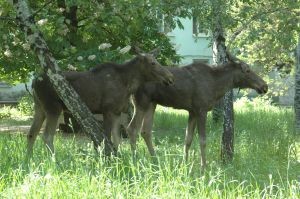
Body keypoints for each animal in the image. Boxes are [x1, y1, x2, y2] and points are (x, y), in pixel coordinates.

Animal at [28, 50, 175, 156]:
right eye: (152, 63)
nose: (170, 77)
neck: (128, 85)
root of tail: (34, 82)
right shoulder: (108, 110)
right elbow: (107, 139)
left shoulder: (117, 112)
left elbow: (117, 139)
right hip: (53, 108)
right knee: (47, 136)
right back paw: (54, 161)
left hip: (39, 107)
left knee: (32, 133)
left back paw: (27, 160)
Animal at [125, 52, 268, 168]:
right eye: (248, 70)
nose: (264, 86)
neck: (217, 86)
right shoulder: (201, 110)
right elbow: (202, 141)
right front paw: (203, 167)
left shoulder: (192, 111)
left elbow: (187, 139)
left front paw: (185, 164)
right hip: (141, 102)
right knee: (132, 128)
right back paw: (135, 161)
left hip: (151, 103)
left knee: (145, 131)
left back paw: (155, 161)